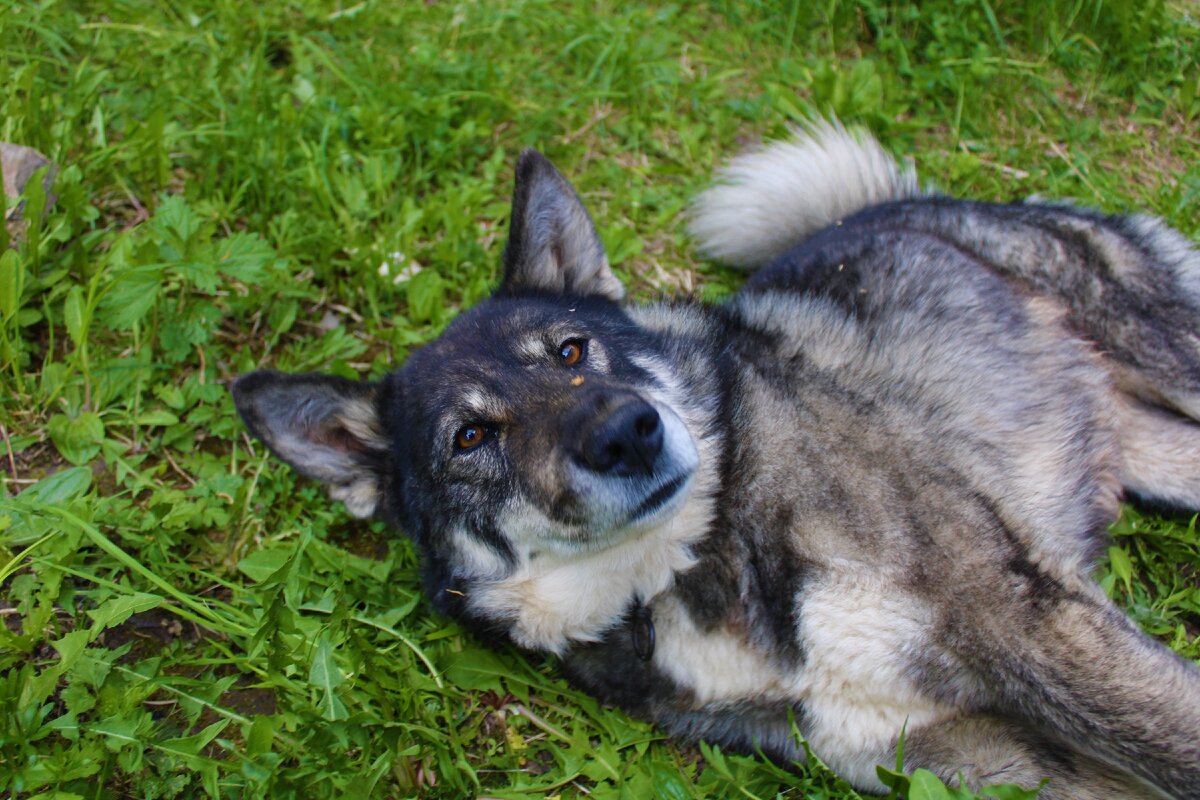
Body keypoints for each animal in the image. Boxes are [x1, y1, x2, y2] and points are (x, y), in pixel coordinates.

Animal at [231, 122, 1200, 796]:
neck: (691, 559)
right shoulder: (1000, 761)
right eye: (471, 437)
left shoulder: (1024, 621)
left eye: (573, 350)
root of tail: (885, 203)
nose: (628, 431)